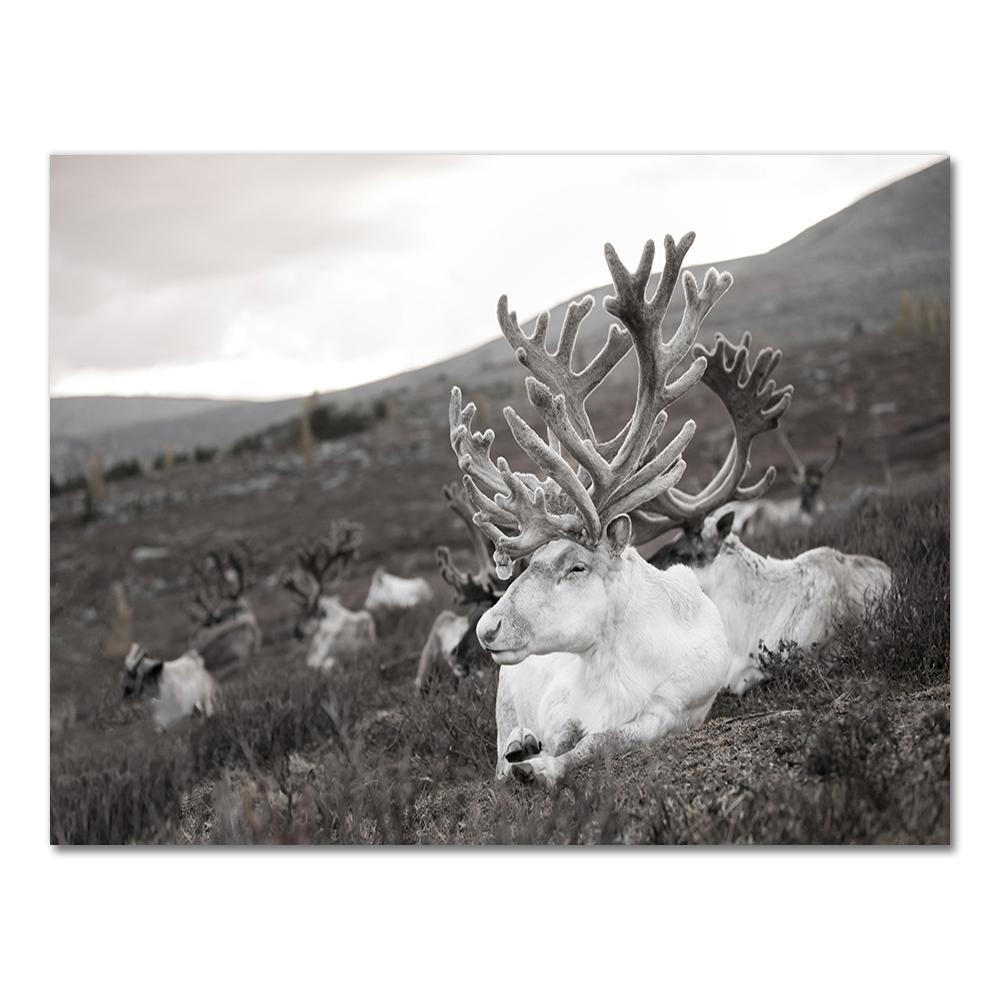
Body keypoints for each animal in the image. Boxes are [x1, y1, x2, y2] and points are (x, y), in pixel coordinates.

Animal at [453, 231, 791, 789]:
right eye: (525, 564)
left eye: (576, 566)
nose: (487, 628)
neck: (618, 659)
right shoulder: (559, 703)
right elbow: (561, 734)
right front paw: (533, 754)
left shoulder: (672, 710)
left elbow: (605, 741)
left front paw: (545, 768)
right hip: (506, 695)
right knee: (502, 744)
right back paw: (518, 746)